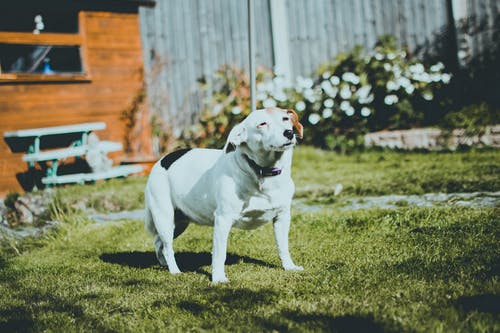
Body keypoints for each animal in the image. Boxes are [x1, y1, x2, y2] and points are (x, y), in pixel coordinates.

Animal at [145, 107, 304, 282]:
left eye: (285, 119)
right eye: (262, 124)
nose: (289, 132)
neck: (262, 172)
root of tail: (161, 160)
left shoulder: (282, 217)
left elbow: (283, 246)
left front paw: (289, 266)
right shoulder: (222, 219)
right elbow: (219, 254)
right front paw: (218, 278)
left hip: (179, 222)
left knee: (158, 242)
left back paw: (164, 264)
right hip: (164, 218)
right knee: (167, 247)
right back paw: (174, 270)